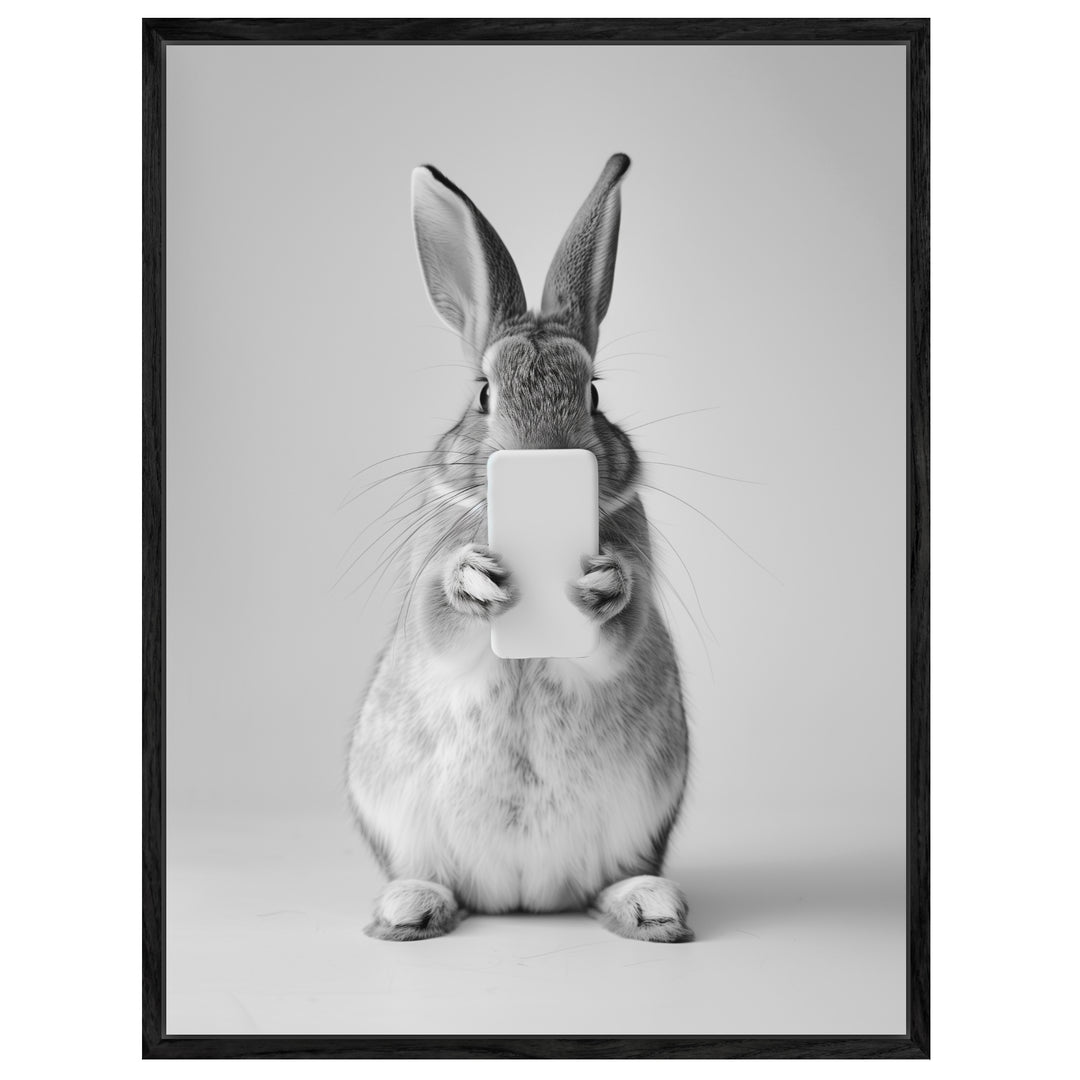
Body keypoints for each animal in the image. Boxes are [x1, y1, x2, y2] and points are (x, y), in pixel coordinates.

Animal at [347, 153, 692, 943]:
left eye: (592, 393)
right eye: (483, 393)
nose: (544, 454)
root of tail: (523, 899)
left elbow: (620, 630)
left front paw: (603, 583)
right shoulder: (426, 590)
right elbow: (438, 621)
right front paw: (474, 580)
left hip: (642, 818)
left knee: (607, 883)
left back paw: (648, 906)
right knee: (435, 878)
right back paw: (410, 909)